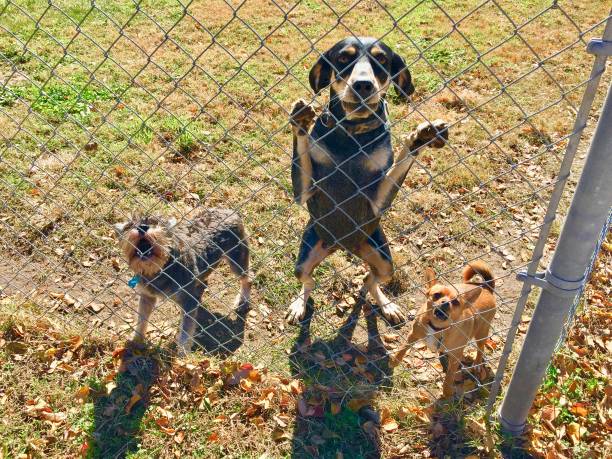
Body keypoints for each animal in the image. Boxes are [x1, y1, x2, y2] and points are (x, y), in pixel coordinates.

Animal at [115, 208, 251, 356]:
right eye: (129, 225)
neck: (159, 269)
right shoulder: (147, 296)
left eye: (157, 222)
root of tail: (231, 212)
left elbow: (185, 333)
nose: (142, 227)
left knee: (248, 278)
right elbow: (141, 320)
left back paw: (243, 302)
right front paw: (137, 341)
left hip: (237, 260)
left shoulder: (188, 302)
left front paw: (182, 356)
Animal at [286, 37, 450, 328]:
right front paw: (301, 121)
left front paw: (421, 138)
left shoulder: (378, 201)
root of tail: (343, 246)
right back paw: (299, 305)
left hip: (383, 260)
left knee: (370, 279)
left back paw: (386, 305)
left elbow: (403, 160)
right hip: (304, 259)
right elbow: (302, 149)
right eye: (343, 58)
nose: (363, 85)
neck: (352, 135)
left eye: (381, 59)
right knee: (309, 281)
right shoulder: (304, 191)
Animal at [392, 262, 498, 398]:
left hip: (481, 332)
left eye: (456, 302)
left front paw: (447, 391)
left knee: (481, 348)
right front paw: (394, 361)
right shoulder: (413, 334)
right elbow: (403, 347)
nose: (446, 303)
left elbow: (449, 375)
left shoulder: (456, 356)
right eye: (437, 295)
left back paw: (477, 364)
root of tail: (487, 288)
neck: (437, 328)